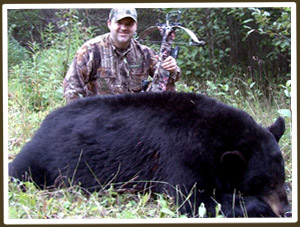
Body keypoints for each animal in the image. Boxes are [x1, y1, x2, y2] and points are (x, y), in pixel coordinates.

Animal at [8, 92, 290, 218]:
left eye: (282, 179)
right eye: (265, 183)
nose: (286, 210)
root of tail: (43, 123)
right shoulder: (179, 155)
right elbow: (192, 200)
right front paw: (258, 206)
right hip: (42, 156)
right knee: (19, 171)